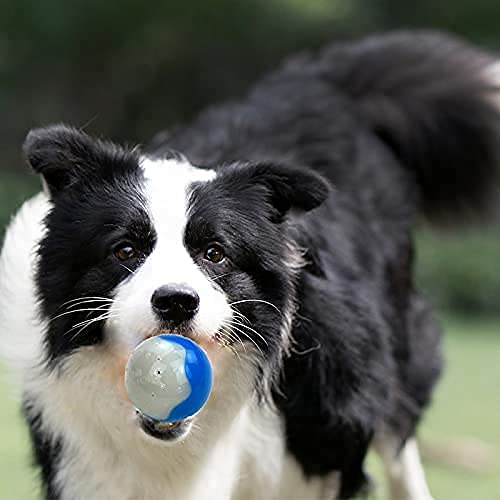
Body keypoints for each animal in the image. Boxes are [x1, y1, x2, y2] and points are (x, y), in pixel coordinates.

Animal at [0, 31, 500, 500]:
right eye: (124, 250)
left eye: (215, 253)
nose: (176, 302)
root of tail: (320, 83)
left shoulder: (322, 433)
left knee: (400, 434)